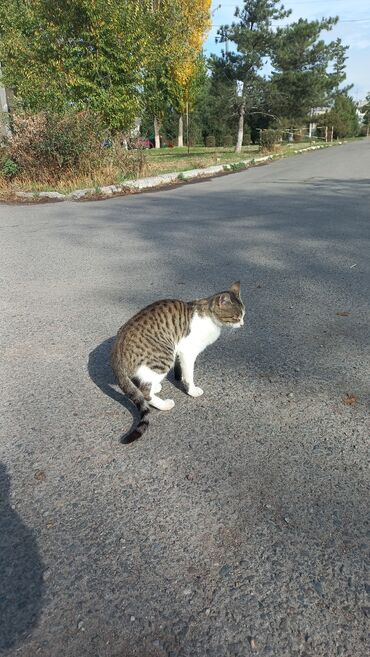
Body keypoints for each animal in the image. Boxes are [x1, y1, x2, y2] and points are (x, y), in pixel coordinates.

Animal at [111, 280, 244, 444]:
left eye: (244, 315)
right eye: (236, 317)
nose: (243, 324)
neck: (210, 318)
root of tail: (117, 350)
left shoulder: (180, 352)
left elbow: (180, 370)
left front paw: (179, 378)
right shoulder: (188, 352)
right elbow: (189, 375)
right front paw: (192, 390)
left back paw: (156, 387)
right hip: (164, 356)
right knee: (144, 392)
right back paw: (164, 405)